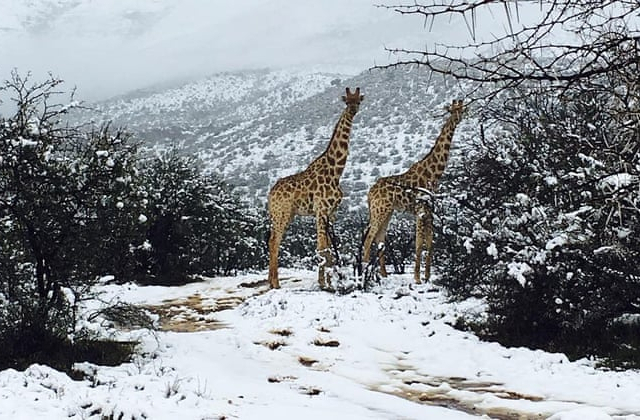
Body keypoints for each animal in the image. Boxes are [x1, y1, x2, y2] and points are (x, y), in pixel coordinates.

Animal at [266, 85, 364, 288]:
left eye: (359, 101)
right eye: (347, 101)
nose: (353, 110)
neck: (336, 171)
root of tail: (270, 194)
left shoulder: (331, 212)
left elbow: (329, 249)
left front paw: (331, 281)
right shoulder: (321, 210)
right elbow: (322, 248)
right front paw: (324, 283)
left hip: (284, 214)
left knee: (272, 240)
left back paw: (271, 281)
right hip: (282, 213)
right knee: (274, 241)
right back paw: (275, 283)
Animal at [364, 99, 464, 284]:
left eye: (462, 108)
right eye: (452, 109)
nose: (458, 117)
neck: (434, 173)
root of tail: (369, 193)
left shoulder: (430, 210)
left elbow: (430, 242)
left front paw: (427, 276)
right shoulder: (420, 209)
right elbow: (418, 243)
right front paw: (417, 278)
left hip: (387, 211)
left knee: (379, 238)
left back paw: (383, 274)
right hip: (379, 210)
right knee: (369, 238)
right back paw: (365, 273)